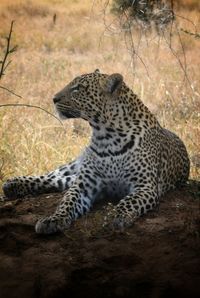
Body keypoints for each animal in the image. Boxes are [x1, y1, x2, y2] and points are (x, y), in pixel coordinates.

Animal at [1, 68, 191, 234]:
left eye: (78, 88)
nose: (54, 98)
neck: (106, 136)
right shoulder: (83, 185)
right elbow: (67, 202)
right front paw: (53, 219)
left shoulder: (145, 186)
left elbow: (128, 202)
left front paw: (116, 217)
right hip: (72, 167)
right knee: (52, 176)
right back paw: (13, 184)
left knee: (60, 181)